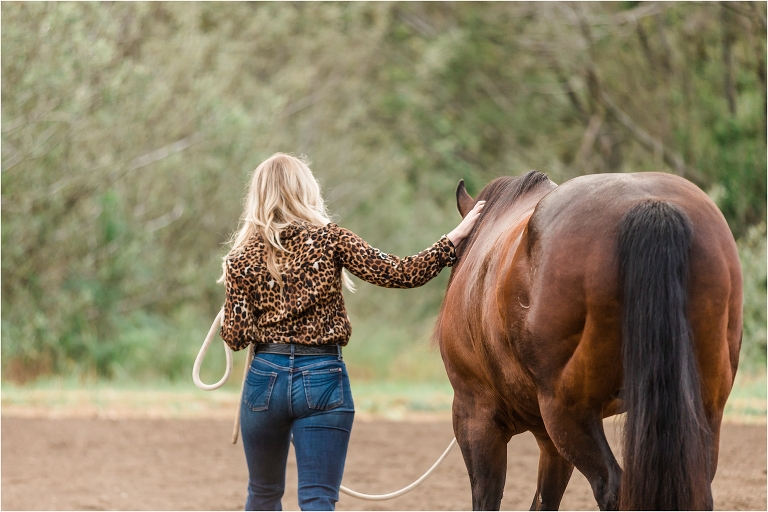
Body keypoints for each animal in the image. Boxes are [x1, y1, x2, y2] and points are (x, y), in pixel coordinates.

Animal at [435, 171, 742, 511]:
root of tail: (652, 206)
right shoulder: (547, 439)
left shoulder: (476, 417)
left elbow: (488, 497)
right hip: (703, 407)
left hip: (568, 412)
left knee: (612, 487)